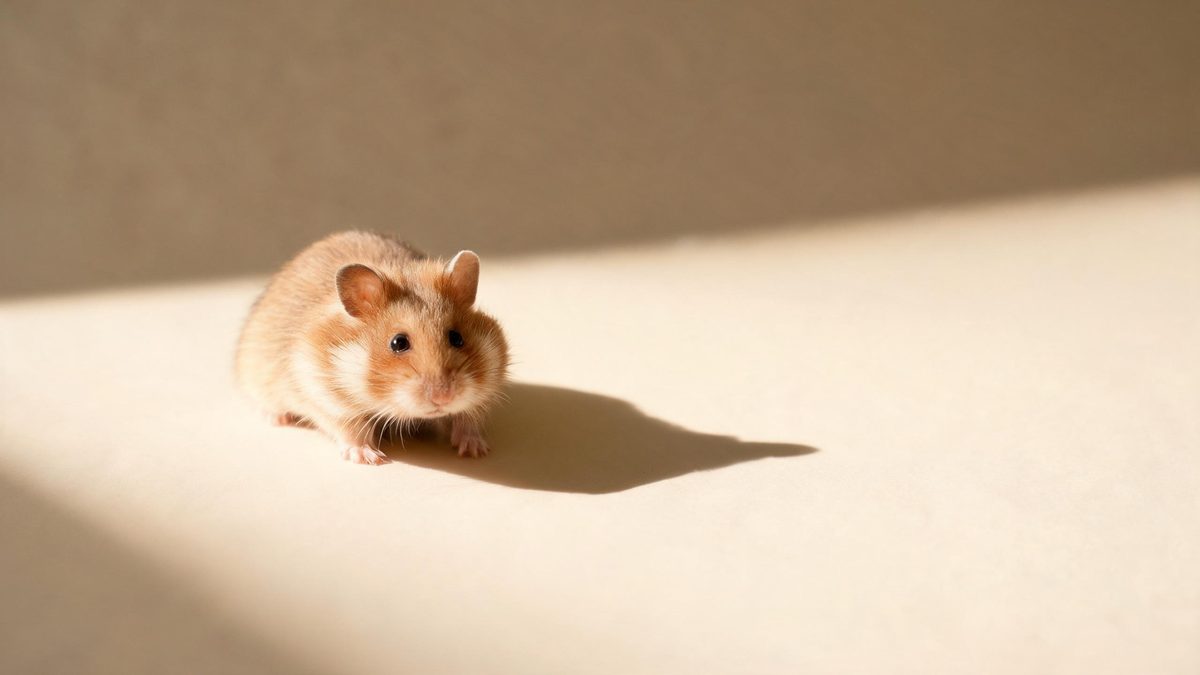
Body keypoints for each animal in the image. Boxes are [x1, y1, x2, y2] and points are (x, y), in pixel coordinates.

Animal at [235, 231, 510, 465]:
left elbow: (468, 419)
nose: (444, 397)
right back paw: (279, 418)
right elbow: (352, 428)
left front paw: (475, 450)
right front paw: (370, 458)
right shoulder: (323, 396)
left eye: (457, 338)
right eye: (398, 343)